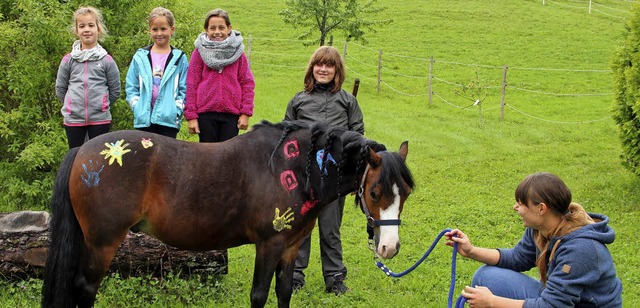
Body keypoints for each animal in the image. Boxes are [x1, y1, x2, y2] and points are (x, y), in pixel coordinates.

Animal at [43, 119, 416, 306]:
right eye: (375, 192)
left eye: (407, 193)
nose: (389, 248)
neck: (296, 167)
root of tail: (82, 151)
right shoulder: (269, 245)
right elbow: (258, 295)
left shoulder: (290, 247)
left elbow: (282, 293)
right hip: (103, 243)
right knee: (85, 289)